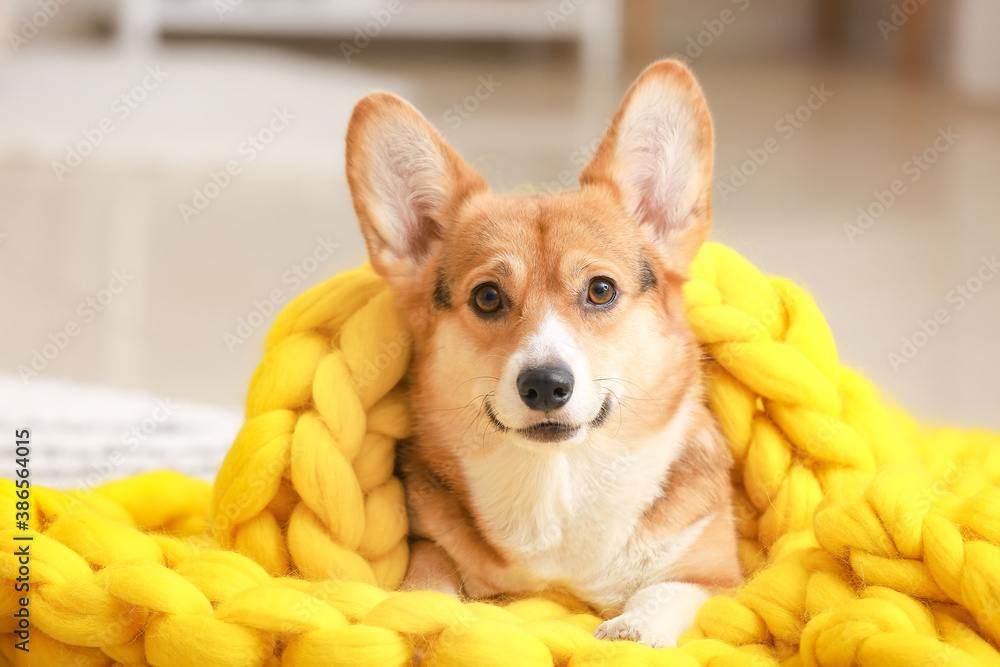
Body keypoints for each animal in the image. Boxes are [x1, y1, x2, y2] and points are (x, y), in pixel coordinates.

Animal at [344, 61, 744, 648]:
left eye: (600, 290)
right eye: (487, 297)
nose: (546, 386)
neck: (559, 482)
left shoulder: (717, 576)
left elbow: (664, 593)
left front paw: (629, 633)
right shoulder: (425, 542)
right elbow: (429, 575)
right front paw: (427, 615)